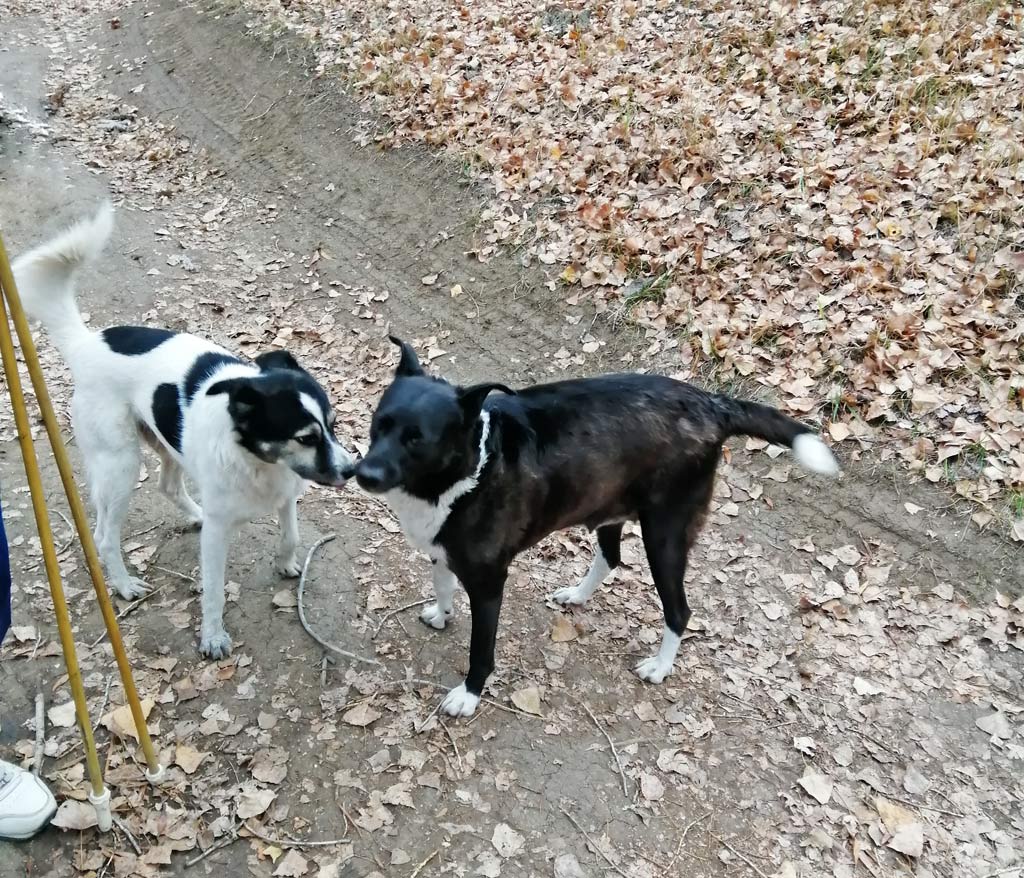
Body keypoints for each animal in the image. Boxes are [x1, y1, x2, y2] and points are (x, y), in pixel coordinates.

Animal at [9, 203, 356, 655]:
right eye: (306, 437)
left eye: (333, 425)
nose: (352, 470)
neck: (257, 460)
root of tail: (85, 345)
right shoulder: (222, 531)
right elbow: (212, 589)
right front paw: (212, 636)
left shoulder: (285, 496)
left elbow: (291, 536)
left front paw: (284, 563)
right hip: (120, 465)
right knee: (104, 535)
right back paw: (123, 584)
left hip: (166, 443)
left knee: (168, 486)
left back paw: (193, 516)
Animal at [356, 333, 835, 713]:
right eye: (380, 424)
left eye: (417, 440)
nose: (362, 475)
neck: (471, 466)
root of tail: (712, 404)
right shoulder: (443, 551)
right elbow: (442, 584)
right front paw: (442, 613)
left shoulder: (490, 582)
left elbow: (481, 650)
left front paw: (469, 694)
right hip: (610, 510)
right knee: (611, 557)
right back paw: (578, 595)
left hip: (664, 537)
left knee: (679, 610)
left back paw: (660, 666)